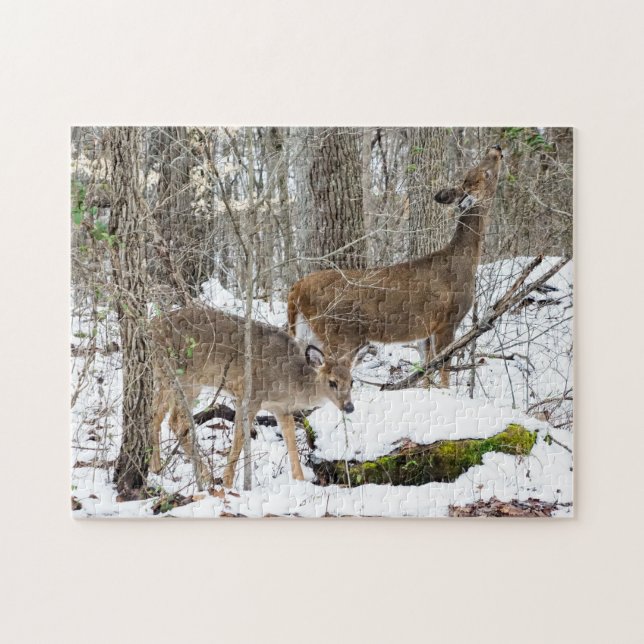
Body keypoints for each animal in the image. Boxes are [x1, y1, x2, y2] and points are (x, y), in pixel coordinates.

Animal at [148, 305, 354, 489]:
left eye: (351, 382)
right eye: (332, 382)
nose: (349, 407)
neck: (289, 379)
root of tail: (152, 327)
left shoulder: (281, 408)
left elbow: (291, 441)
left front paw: (300, 481)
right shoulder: (250, 396)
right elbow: (239, 438)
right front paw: (228, 483)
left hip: (165, 377)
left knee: (155, 414)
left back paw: (156, 467)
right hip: (185, 379)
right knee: (176, 421)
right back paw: (206, 476)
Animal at [287, 145, 503, 387]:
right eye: (485, 172)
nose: (496, 148)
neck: (463, 262)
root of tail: (296, 289)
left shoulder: (426, 329)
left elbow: (426, 369)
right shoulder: (448, 320)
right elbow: (444, 367)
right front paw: (446, 391)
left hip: (307, 332)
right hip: (339, 332)